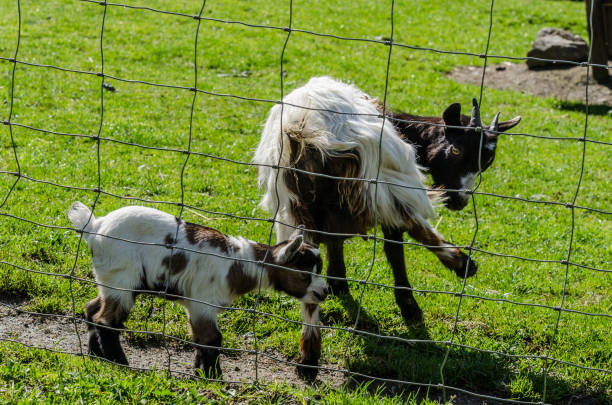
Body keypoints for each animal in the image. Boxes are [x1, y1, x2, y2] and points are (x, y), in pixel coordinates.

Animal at [68, 204, 328, 378]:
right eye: (304, 275)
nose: (323, 293)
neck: (238, 263)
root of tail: (96, 226)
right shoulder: (203, 303)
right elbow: (213, 340)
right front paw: (215, 378)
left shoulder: (196, 306)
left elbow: (201, 341)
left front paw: (199, 372)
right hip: (122, 278)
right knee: (106, 321)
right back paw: (120, 363)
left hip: (110, 280)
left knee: (91, 309)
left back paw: (96, 355)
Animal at [253, 75, 520, 322]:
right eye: (456, 149)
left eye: (487, 161)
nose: (459, 201)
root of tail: (302, 127)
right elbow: (394, 247)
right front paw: (408, 304)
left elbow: (334, 239)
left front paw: (337, 281)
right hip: (380, 181)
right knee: (409, 225)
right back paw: (459, 265)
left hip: (297, 198)